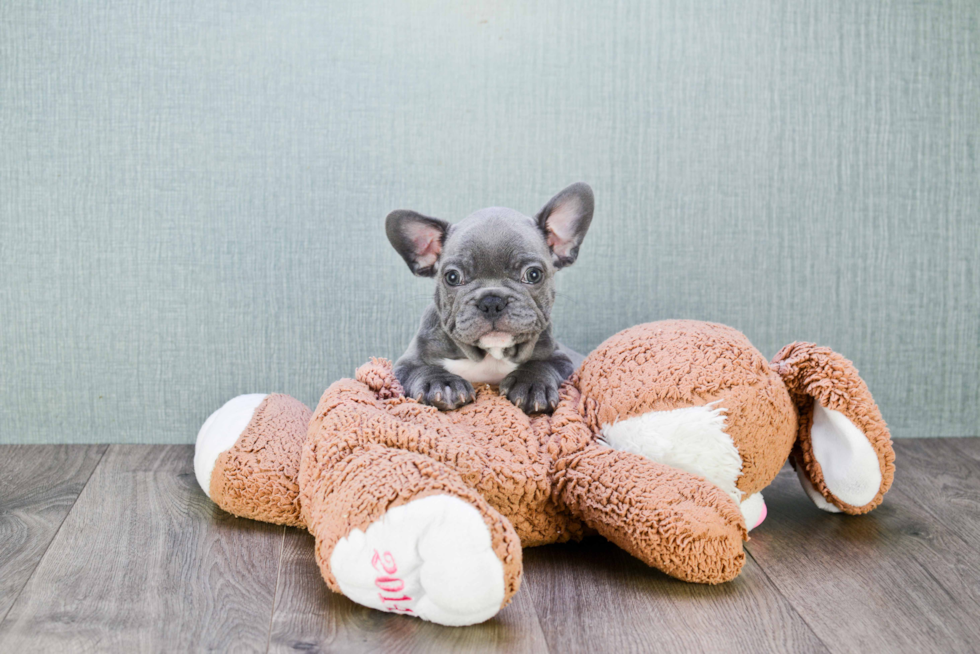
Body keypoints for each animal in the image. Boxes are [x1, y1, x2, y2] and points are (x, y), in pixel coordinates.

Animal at [386, 181, 592, 416]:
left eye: (533, 274)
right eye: (452, 277)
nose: (492, 302)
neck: (490, 355)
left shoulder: (562, 358)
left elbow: (543, 365)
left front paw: (532, 384)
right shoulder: (404, 364)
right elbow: (423, 369)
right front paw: (441, 383)